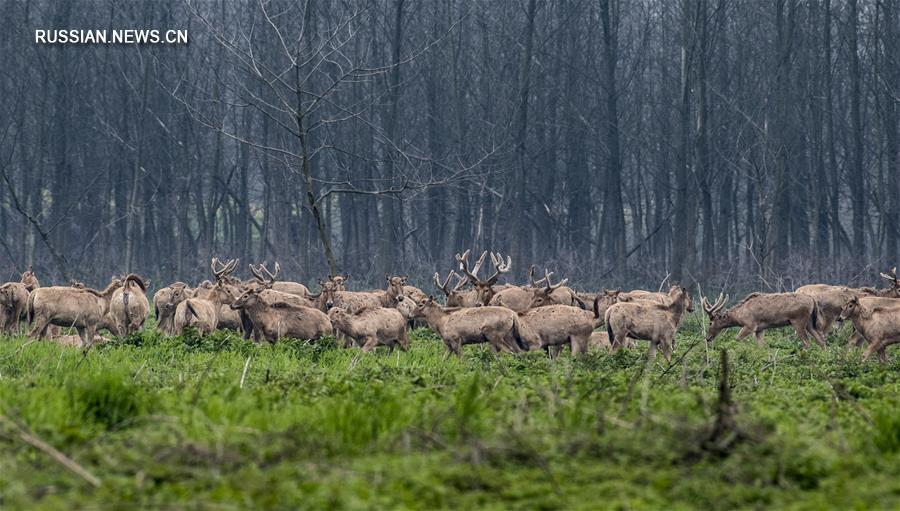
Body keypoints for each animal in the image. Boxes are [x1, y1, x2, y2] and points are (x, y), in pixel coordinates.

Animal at [700, 292, 828, 348]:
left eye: (710, 322)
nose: (707, 337)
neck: (740, 316)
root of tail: (812, 300)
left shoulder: (750, 325)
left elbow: (737, 338)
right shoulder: (759, 329)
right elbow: (762, 345)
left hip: (798, 320)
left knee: (807, 342)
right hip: (809, 322)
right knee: (821, 340)